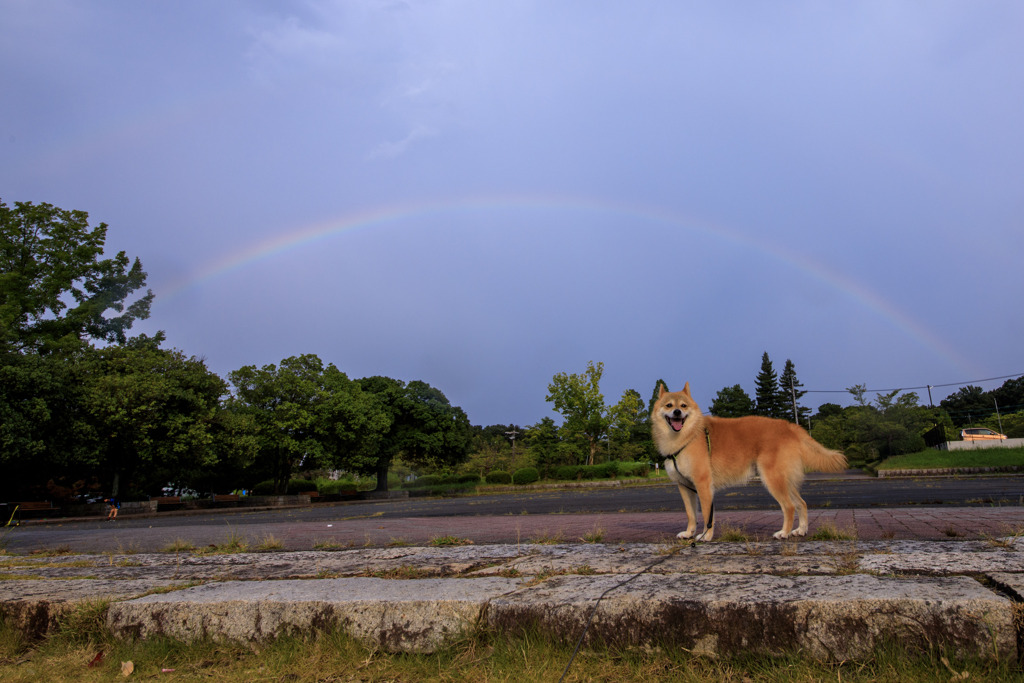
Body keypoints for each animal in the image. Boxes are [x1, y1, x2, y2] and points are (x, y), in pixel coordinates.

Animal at [651, 385, 843, 540]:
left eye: (683, 406)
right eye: (669, 405)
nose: (677, 412)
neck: (687, 436)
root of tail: (788, 426)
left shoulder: (703, 484)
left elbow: (707, 515)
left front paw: (706, 535)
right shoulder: (685, 487)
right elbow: (691, 514)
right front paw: (689, 533)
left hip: (773, 479)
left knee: (789, 507)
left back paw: (784, 533)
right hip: (785, 481)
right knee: (801, 504)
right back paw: (801, 530)